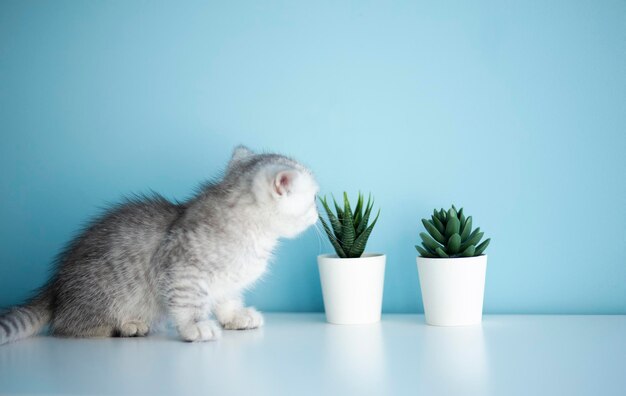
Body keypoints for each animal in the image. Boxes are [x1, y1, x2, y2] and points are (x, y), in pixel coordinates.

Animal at [0, 145, 320, 344]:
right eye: (314, 197)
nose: (318, 212)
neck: (254, 232)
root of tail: (55, 284)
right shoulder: (182, 269)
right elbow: (190, 302)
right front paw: (195, 326)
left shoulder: (226, 281)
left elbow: (227, 298)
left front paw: (235, 316)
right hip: (101, 292)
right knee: (66, 326)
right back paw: (126, 326)